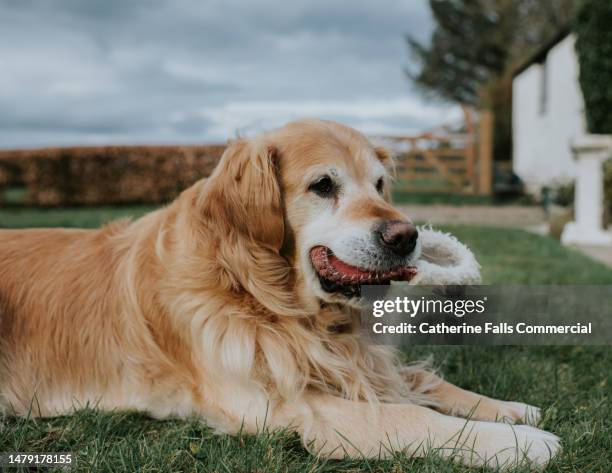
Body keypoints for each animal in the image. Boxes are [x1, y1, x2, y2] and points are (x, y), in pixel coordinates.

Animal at [0, 119, 560, 468]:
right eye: (323, 185)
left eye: (380, 185)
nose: (407, 237)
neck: (260, 294)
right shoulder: (285, 407)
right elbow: (410, 415)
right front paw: (521, 443)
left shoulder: (355, 362)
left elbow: (425, 382)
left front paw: (509, 410)